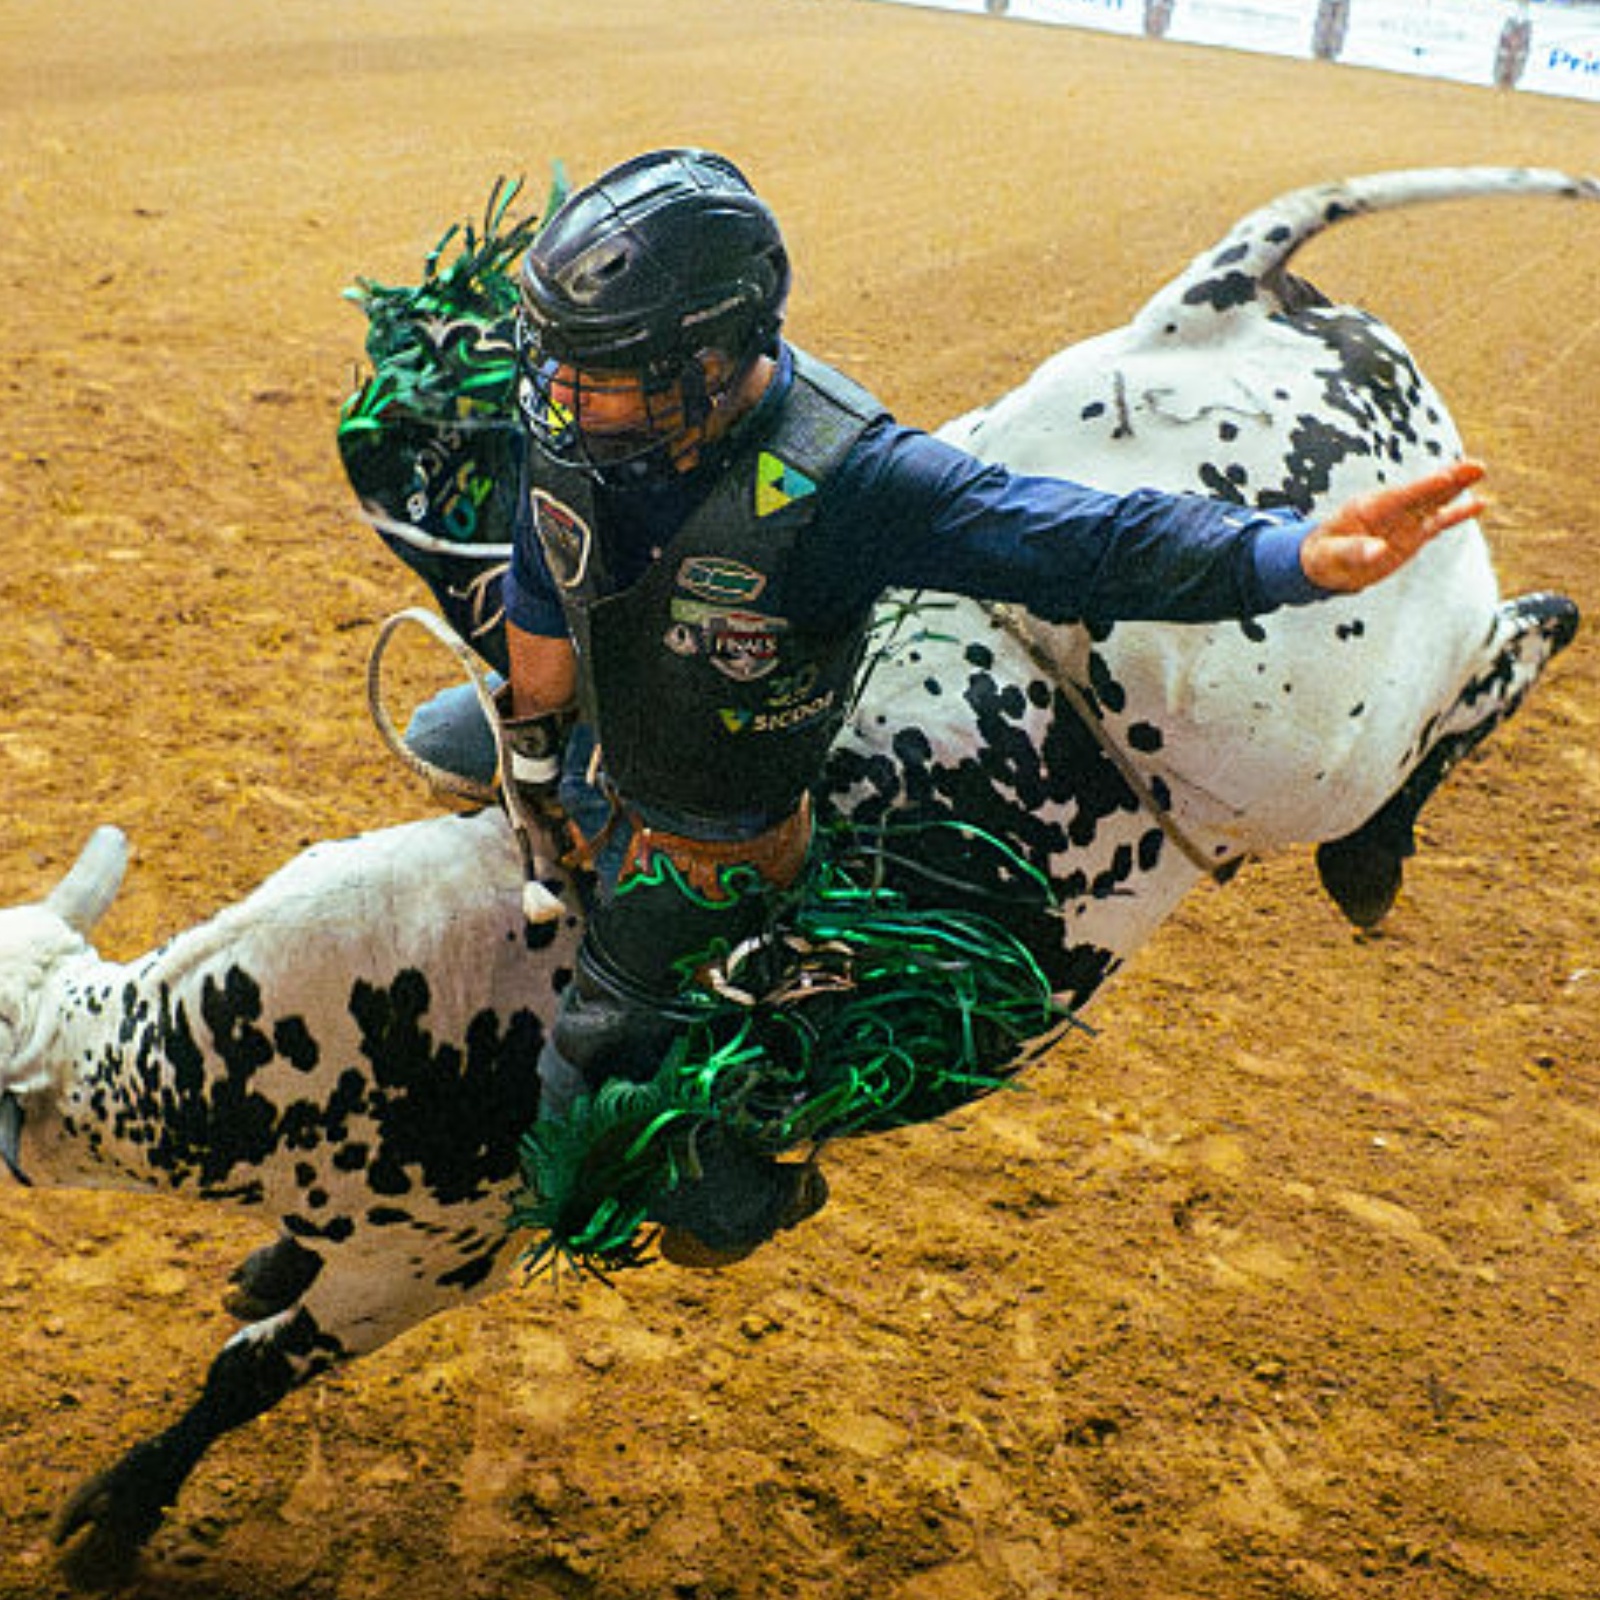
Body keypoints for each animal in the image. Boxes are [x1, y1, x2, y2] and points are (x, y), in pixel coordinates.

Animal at [2, 165, 1590, 1586]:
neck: (334, 1020)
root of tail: (1212, 311)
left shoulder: (431, 1259)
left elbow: (247, 1371)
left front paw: (115, 1518)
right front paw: (250, 1281)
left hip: (1325, 731)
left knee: (1511, 646)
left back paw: (1376, 853)